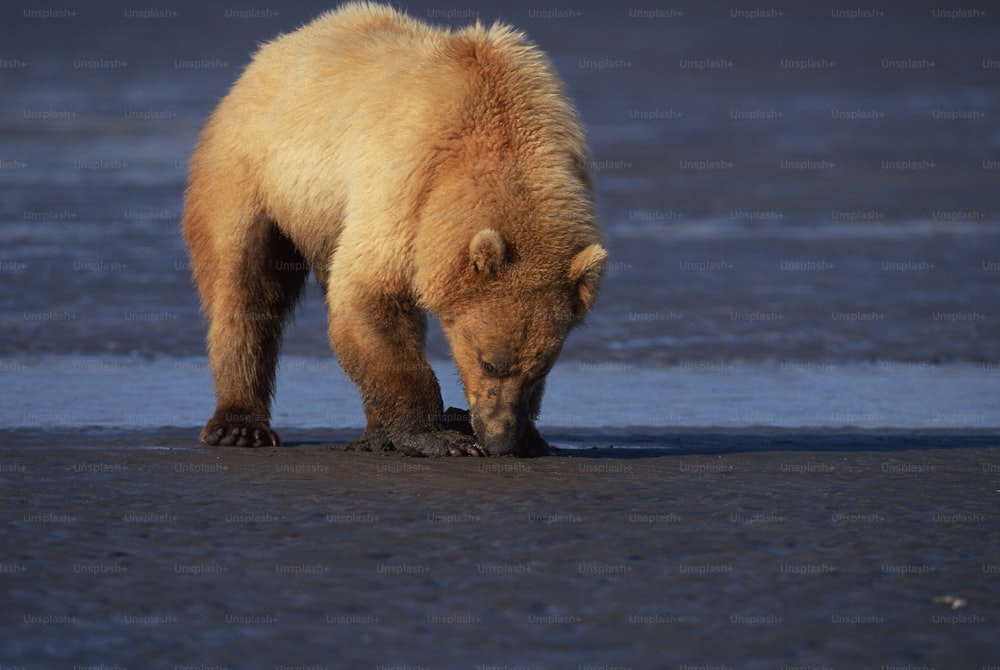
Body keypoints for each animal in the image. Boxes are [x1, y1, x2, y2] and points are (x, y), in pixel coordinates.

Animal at [183, 1, 604, 456]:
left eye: (540, 369)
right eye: (490, 361)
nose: (499, 440)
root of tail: (272, 50)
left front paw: (527, 435)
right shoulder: (403, 184)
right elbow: (369, 297)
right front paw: (438, 436)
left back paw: (373, 435)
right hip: (252, 169)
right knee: (244, 282)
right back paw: (239, 426)